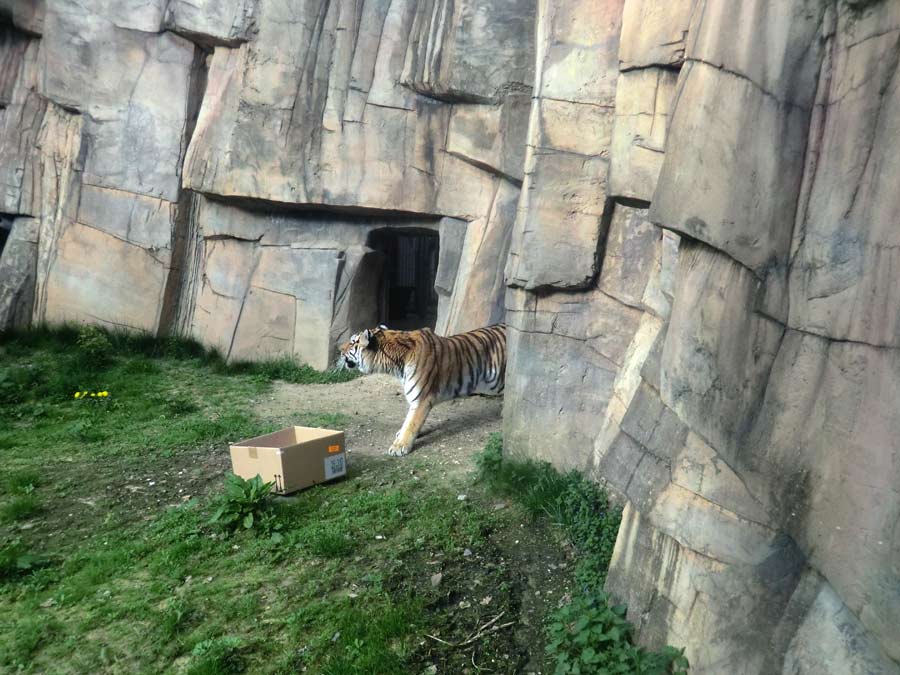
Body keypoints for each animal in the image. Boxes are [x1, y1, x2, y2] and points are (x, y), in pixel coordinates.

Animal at [338, 324, 506, 456]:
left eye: (352, 342)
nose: (339, 349)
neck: (396, 364)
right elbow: (409, 421)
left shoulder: (422, 399)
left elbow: (412, 423)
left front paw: (399, 446)